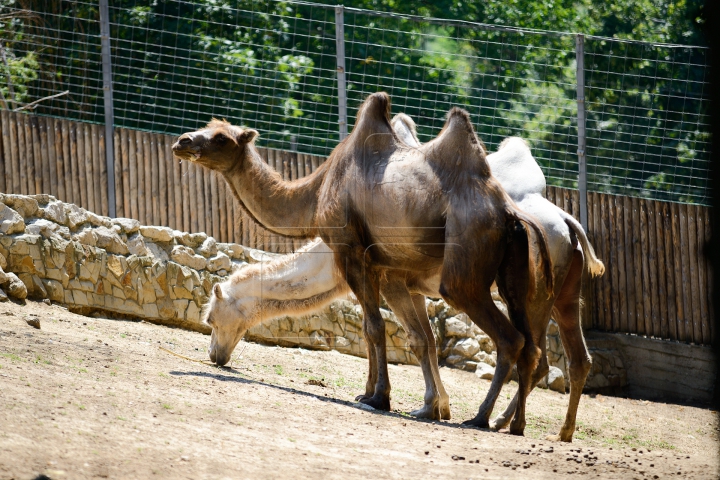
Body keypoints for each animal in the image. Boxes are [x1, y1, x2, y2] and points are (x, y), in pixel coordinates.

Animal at [172, 94, 556, 436]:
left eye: (221, 138)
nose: (182, 140)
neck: (316, 193)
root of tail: (510, 214)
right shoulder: (382, 270)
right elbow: (406, 336)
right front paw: (398, 398)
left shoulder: (351, 252)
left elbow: (374, 328)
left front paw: (380, 398)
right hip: (517, 281)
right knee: (532, 348)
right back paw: (515, 424)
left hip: (465, 271)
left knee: (510, 338)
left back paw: (480, 418)